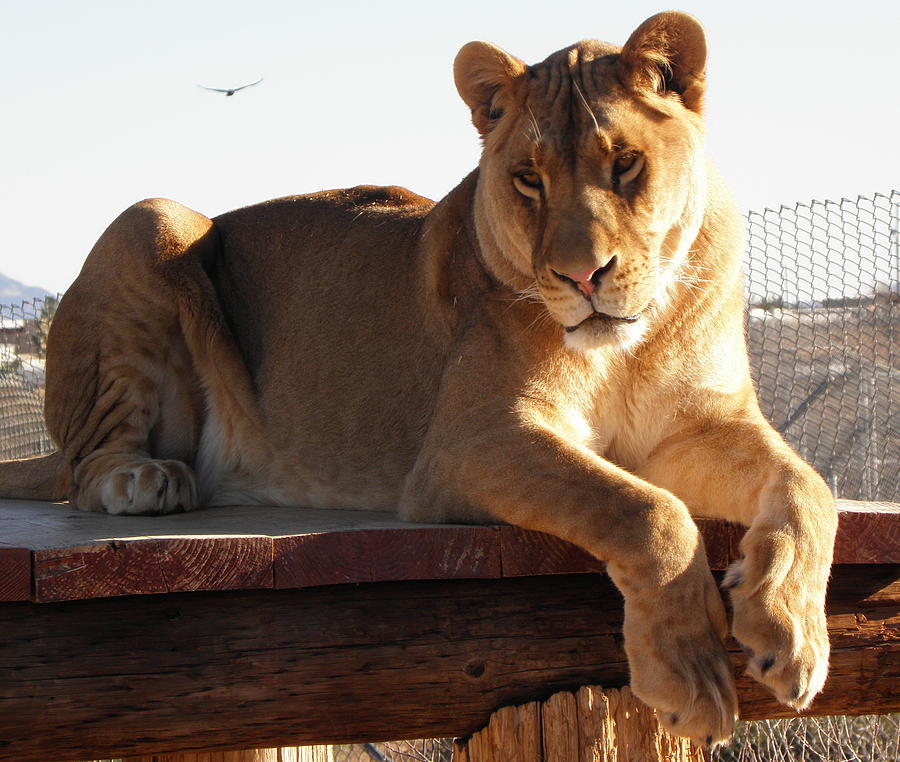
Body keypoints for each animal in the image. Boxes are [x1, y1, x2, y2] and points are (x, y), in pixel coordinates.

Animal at [3, 11, 840, 744]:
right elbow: (649, 512)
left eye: (625, 163)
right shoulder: (470, 442)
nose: (582, 275)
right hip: (154, 218)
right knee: (84, 468)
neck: (629, 346)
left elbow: (809, 489)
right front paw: (691, 681)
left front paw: (789, 633)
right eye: (528, 179)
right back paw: (146, 480)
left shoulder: (701, 425)